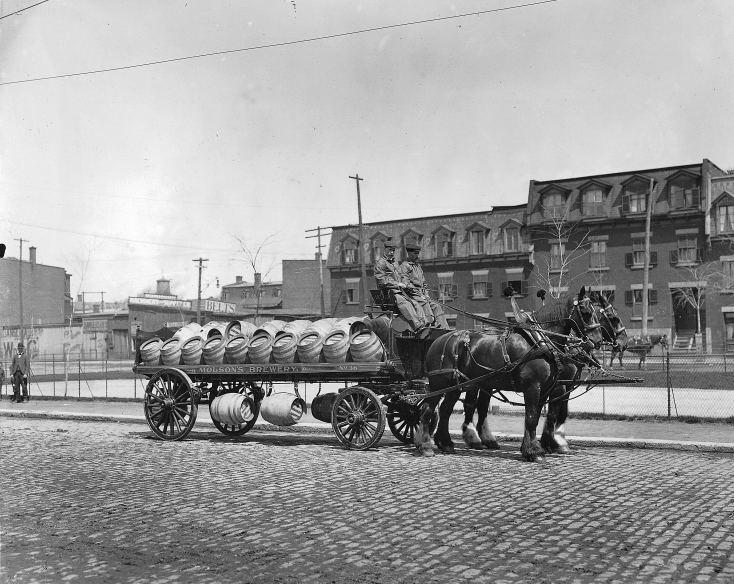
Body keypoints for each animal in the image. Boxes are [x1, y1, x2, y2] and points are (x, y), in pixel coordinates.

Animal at [420, 286, 604, 460]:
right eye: (587, 313)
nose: (598, 341)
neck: (539, 341)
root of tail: (439, 339)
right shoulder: (533, 386)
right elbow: (531, 418)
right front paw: (534, 451)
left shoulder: (545, 389)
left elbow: (537, 417)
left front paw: (529, 448)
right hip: (439, 384)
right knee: (428, 409)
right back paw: (425, 446)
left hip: (455, 386)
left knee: (445, 410)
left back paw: (445, 443)